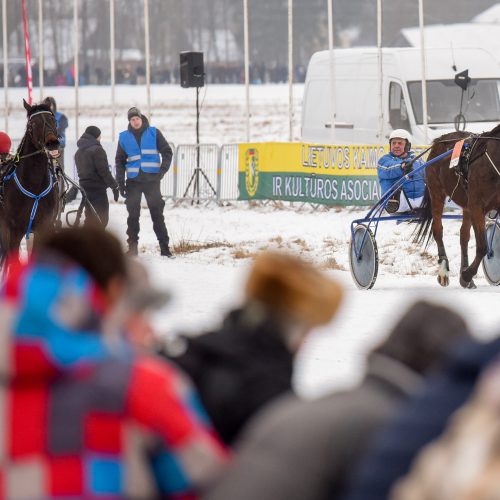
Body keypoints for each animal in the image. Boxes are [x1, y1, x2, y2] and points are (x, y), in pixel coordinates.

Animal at [0, 98, 62, 270]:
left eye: (53, 119)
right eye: (32, 124)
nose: (52, 143)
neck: (34, 186)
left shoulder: (43, 227)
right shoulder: (14, 229)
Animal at [416, 125, 500, 290]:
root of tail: (439, 140)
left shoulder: (475, 206)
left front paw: (466, 275)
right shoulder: (477, 207)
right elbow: (482, 246)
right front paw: (467, 275)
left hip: (466, 205)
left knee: (463, 236)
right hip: (437, 193)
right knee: (437, 230)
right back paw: (444, 270)